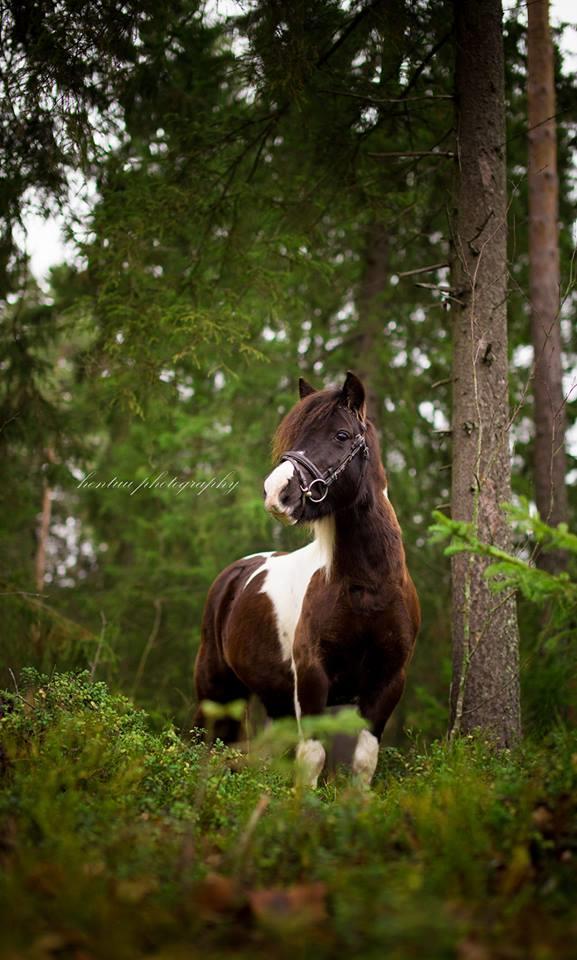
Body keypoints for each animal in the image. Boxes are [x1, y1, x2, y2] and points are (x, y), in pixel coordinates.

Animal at [194, 372, 418, 784]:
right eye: (294, 434)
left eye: (341, 435)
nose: (275, 492)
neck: (369, 588)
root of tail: (235, 574)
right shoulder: (313, 677)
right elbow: (313, 757)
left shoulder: (387, 681)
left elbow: (364, 760)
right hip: (216, 688)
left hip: (275, 698)